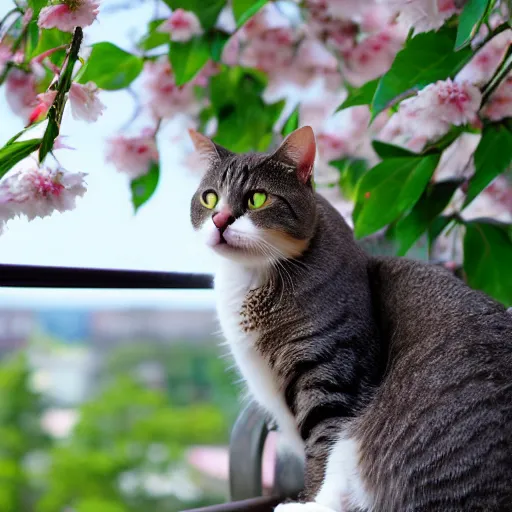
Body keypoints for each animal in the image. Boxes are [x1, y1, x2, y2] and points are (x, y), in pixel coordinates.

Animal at [189, 125, 512, 512]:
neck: (254, 277)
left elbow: (320, 450)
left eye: (257, 199)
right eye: (209, 198)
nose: (220, 219)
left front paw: (306, 496)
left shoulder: (335, 375)